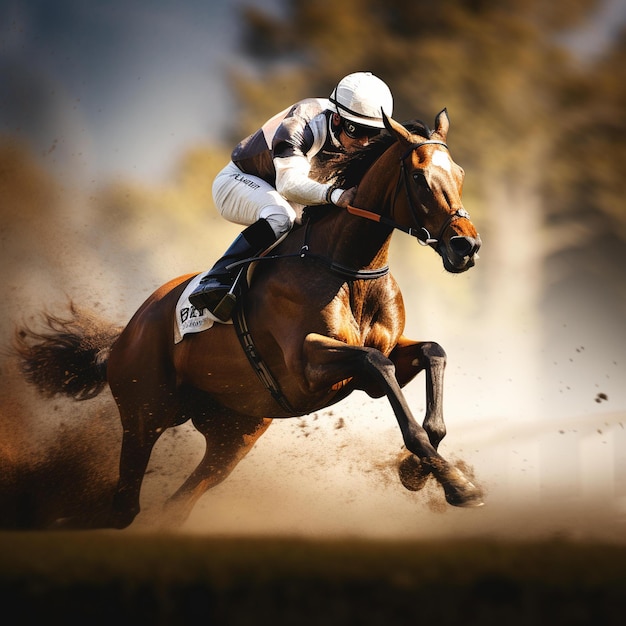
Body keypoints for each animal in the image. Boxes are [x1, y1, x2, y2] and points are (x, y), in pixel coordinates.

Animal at [13, 108, 482, 528]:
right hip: (144, 414)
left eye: (459, 172)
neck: (349, 268)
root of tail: (126, 334)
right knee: (123, 507)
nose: (466, 246)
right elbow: (376, 363)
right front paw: (456, 484)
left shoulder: (372, 364)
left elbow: (432, 353)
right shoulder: (309, 365)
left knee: (175, 506)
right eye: (419, 177)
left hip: (233, 434)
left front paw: (421, 470)